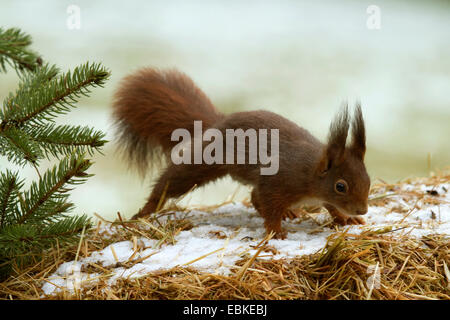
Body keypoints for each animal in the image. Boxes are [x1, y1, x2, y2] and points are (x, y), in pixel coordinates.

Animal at [111, 68, 370, 238]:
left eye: (368, 181)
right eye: (340, 186)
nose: (363, 209)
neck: (311, 177)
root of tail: (218, 123)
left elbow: (331, 207)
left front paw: (346, 218)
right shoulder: (279, 182)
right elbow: (269, 205)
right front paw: (276, 231)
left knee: (254, 196)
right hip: (205, 162)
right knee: (169, 184)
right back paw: (142, 213)